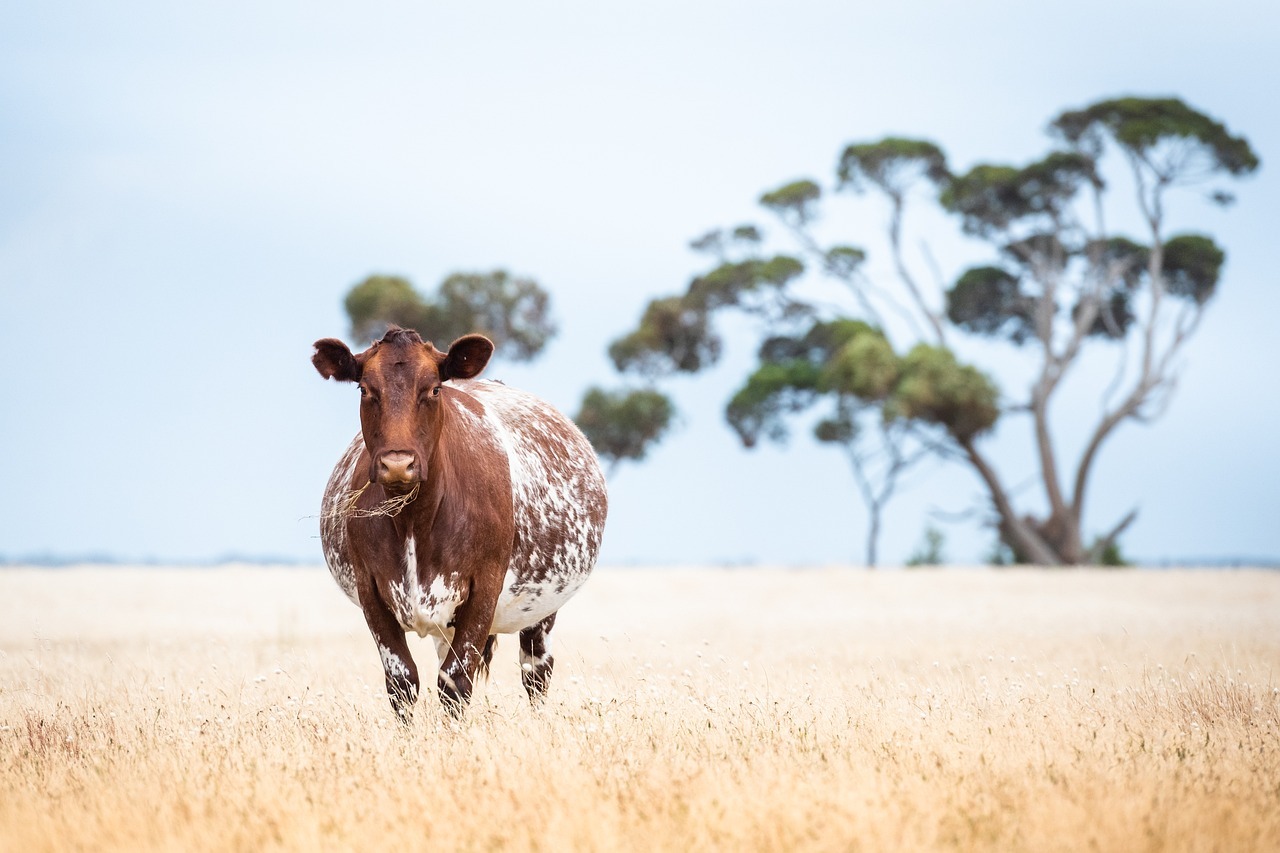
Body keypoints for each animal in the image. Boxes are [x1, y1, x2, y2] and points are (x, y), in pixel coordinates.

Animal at [311, 325, 609, 717]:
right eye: (364, 389)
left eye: (435, 389)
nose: (397, 464)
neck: (415, 520)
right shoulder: (370, 590)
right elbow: (402, 682)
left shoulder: (484, 587)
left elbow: (455, 683)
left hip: (542, 609)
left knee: (536, 671)